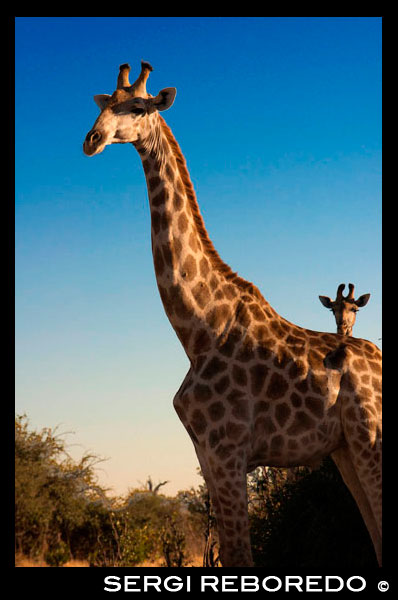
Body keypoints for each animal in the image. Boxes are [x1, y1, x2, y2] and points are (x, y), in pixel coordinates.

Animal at [83, 61, 382, 568]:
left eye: (138, 107)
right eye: (106, 104)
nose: (92, 139)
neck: (199, 328)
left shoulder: (228, 449)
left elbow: (241, 555)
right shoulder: (207, 453)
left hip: (370, 439)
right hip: (345, 448)